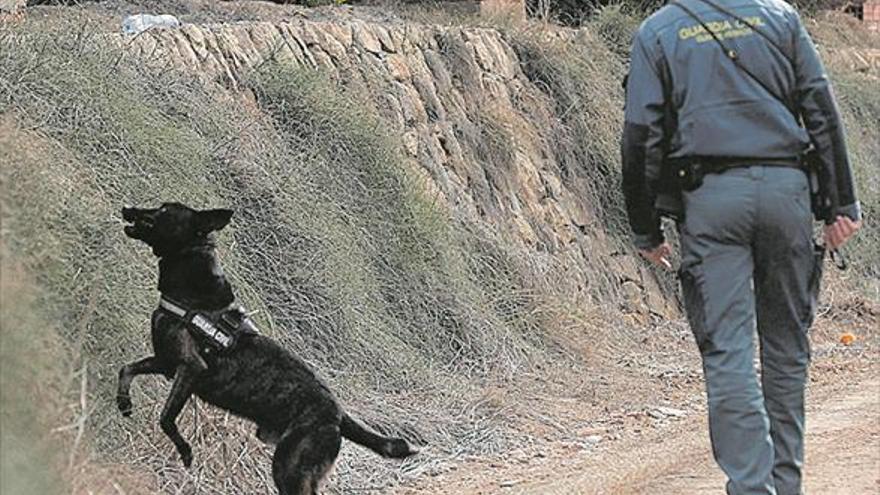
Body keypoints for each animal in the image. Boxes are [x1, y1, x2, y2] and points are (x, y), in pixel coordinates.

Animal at [117, 203, 420, 494]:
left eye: (164, 210)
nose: (128, 208)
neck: (192, 292)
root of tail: (338, 414)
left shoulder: (190, 367)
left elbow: (166, 417)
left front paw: (185, 451)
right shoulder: (166, 361)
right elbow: (127, 369)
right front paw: (124, 404)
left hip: (290, 468)